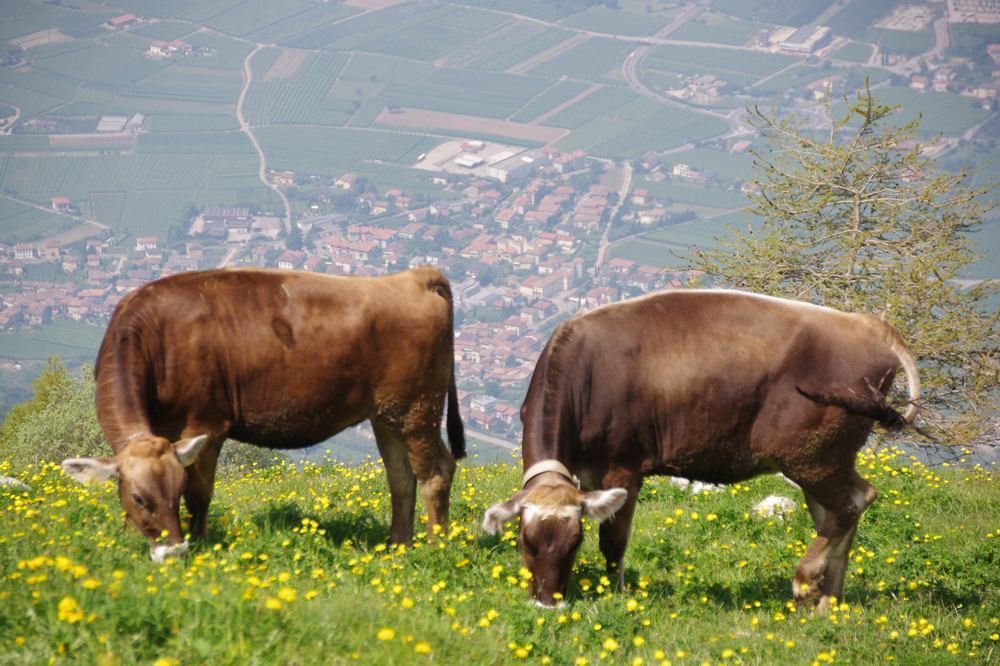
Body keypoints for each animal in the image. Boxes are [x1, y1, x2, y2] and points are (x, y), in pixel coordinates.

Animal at [62, 264, 464, 560]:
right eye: (139, 498)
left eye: (174, 490)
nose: (173, 553)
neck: (155, 335)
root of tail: (414, 277)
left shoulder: (207, 423)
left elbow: (200, 493)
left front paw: (203, 543)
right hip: (387, 416)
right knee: (401, 478)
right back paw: (397, 548)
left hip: (418, 409)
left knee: (435, 473)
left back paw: (436, 548)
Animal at [480, 288, 916, 608]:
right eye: (524, 541)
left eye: (575, 542)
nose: (546, 603)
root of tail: (871, 326)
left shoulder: (623, 468)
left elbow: (614, 543)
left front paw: (617, 596)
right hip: (823, 460)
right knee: (846, 506)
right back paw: (828, 603)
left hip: (812, 457)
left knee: (850, 505)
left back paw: (806, 583)